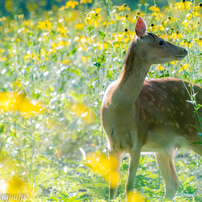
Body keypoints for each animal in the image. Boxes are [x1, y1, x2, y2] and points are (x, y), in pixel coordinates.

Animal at [100, 16, 202, 200]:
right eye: (161, 42)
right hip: (164, 147)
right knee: (172, 184)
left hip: (195, 134)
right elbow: (112, 188)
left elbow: (129, 186)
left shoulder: (138, 139)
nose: (184, 50)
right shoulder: (111, 143)